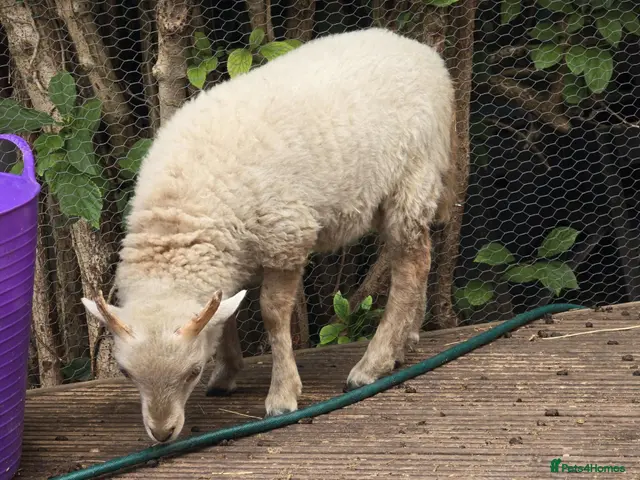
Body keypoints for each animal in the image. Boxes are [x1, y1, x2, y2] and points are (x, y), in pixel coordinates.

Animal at [81, 27, 457, 444]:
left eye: (193, 371)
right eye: (127, 374)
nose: (162, 434)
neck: (180, 216)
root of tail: (425, 54)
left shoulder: (286, 235)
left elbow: (273, 314)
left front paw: (282, 394)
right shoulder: (231, 253)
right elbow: (226, 314)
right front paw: (227, 372)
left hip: (412, 178)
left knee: (410, 268)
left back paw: (372, 364)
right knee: (418, 258)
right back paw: (405, 341)